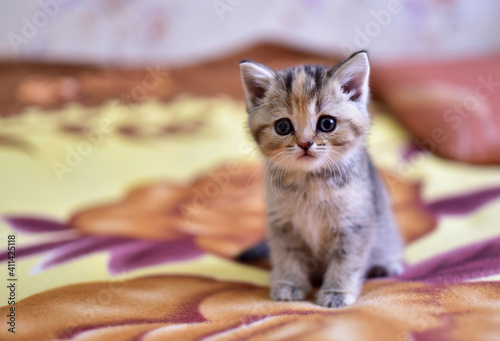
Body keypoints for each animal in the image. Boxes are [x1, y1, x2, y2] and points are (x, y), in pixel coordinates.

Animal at [238, 51, 402, 308]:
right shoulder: (281, 225)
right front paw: (288, 284)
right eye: (282, 126)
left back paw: (385, 265)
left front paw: (336, 292)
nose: (305, 143)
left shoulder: (355, 224)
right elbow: (287, 257)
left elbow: (346, 262)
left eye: (327, 123)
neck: (311, 183)